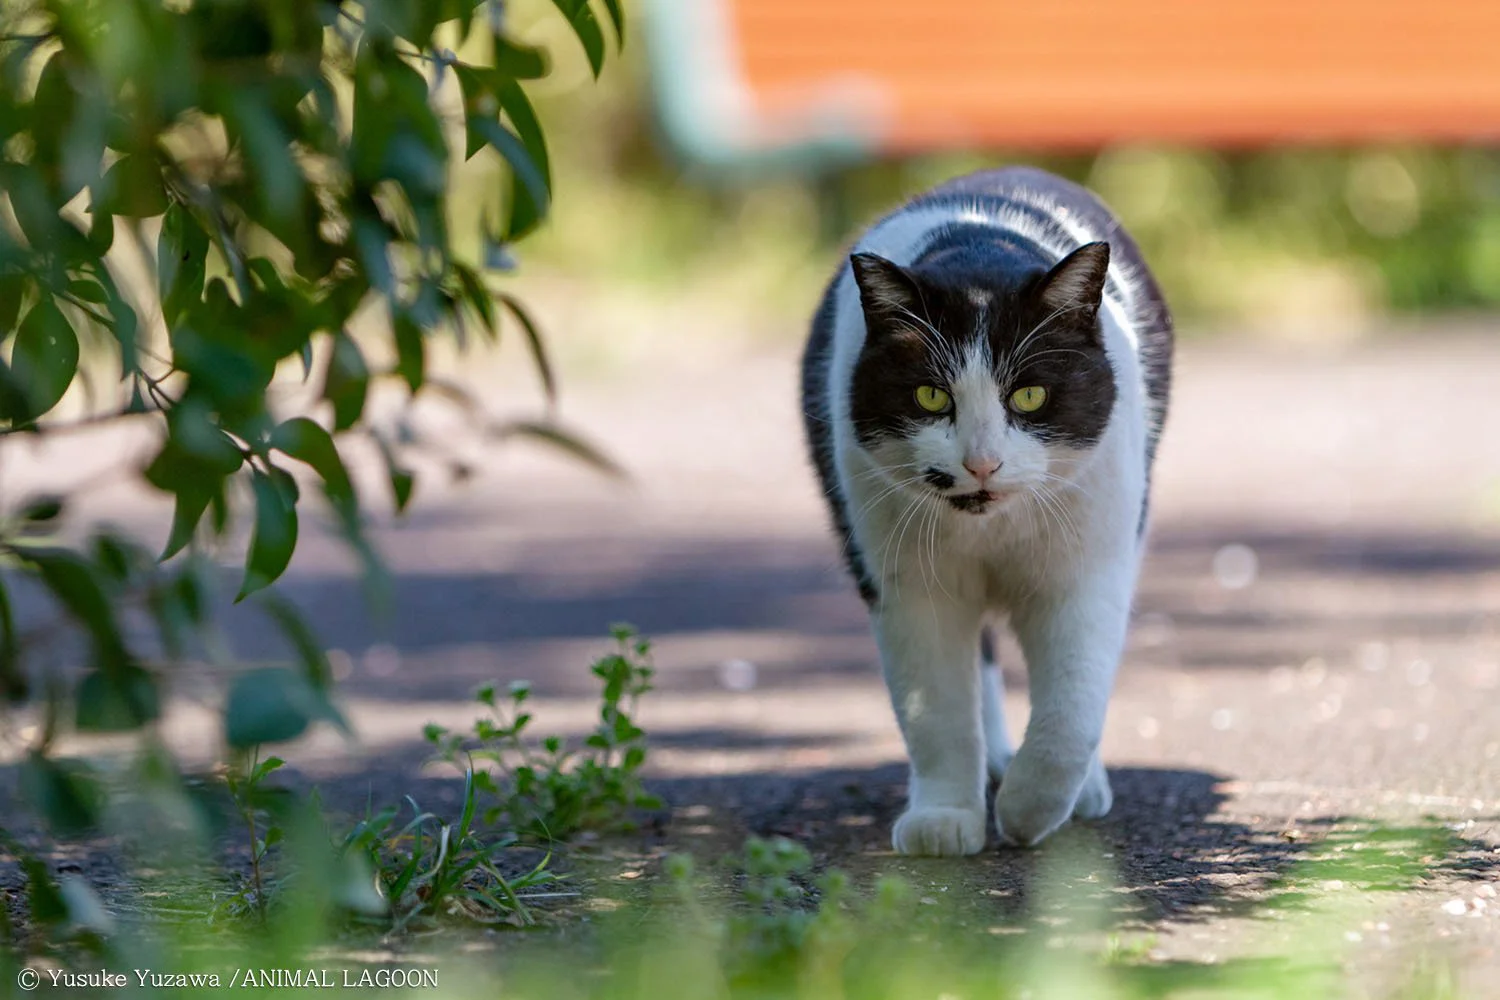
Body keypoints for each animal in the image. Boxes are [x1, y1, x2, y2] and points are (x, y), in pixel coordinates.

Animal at [804, 167, 1176, 857]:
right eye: (930, 396)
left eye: (1029, 396)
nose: (981, 463)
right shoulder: (908, 587)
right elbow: (935, 710)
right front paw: (945, 818)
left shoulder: (1089, 571)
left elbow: (1070, 711)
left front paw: (1030, 811)